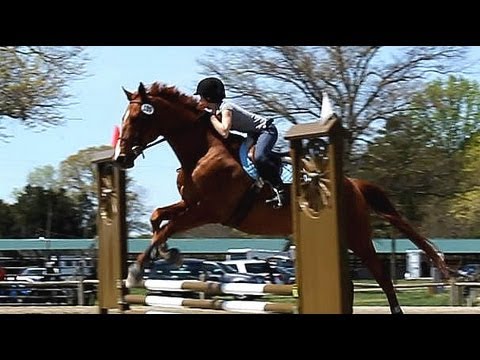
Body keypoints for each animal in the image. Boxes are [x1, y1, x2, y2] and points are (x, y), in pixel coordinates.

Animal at [113, 81, 450, 312]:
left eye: (138, 118)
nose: (120, 159)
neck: (201, 151)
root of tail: (352, 183)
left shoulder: (209, 210)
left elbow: (168, 227)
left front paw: (134, 273)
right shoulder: (190, 203)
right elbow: (157, 217)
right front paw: (168, 254)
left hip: (356, 235)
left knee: (380, 273)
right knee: (353, 281)